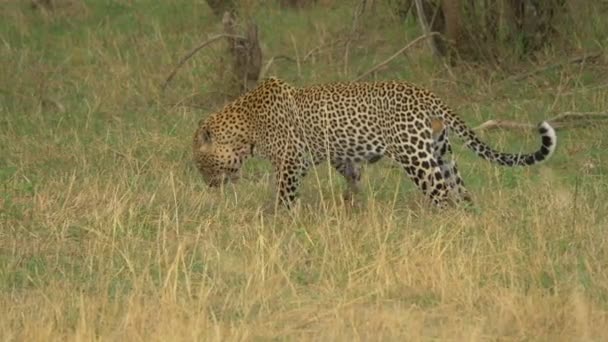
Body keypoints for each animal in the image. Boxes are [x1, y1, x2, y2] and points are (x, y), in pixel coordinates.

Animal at [194, 77, 556, 208]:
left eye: (200, 163)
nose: (208, 185)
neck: (245, 128)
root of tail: (428, 94)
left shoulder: (290, 162)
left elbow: (284, 196)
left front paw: (278, 220)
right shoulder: (340, 158)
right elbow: (353, 179)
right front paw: (354, 206)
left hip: (415, 157)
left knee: (442, 194)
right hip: (441, 152)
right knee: (460, 191)